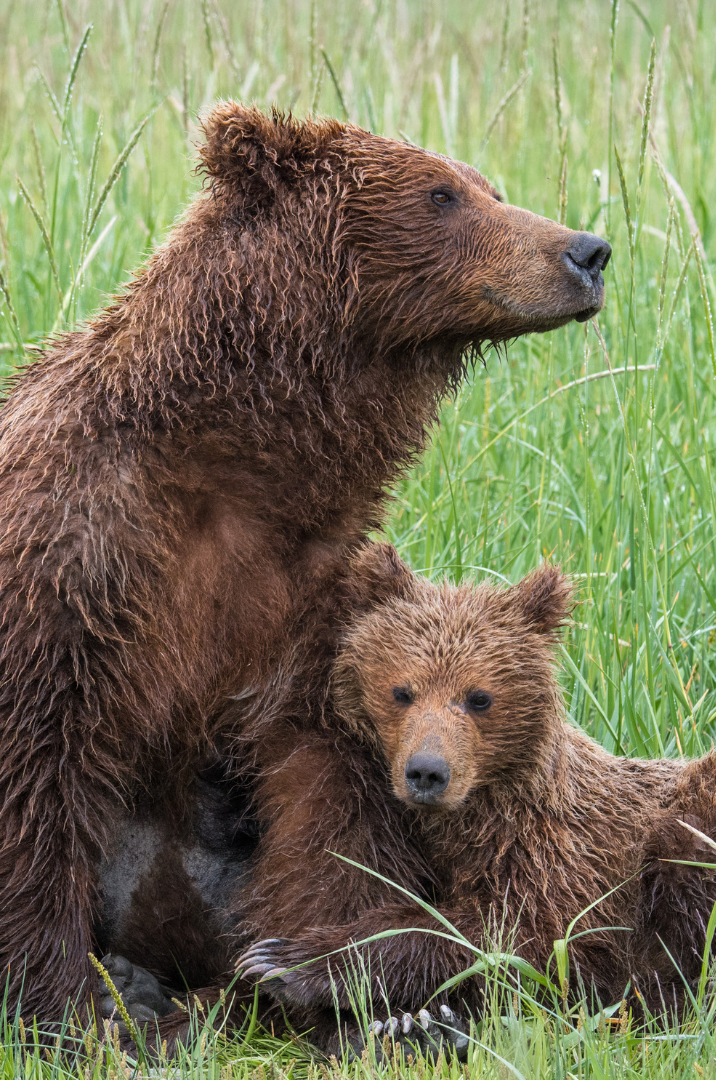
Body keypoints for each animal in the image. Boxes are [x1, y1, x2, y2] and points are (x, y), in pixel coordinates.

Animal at [0, 101, 611, 1023]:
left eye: (491, 188)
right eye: (441, 194)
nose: (587, 251)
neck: (234, 463)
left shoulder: (304, 594)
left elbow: (326, 783)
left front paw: (326, 975)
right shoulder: (76, 555)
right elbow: (37, 770)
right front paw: (71, 1002)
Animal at [226, 548, 716, 1051]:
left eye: (479, 697)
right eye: (402, 691)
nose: (427, 771)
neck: (475, 820)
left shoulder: (567, 860)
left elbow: (518, 935)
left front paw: (292, 960)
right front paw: (402, 1016)